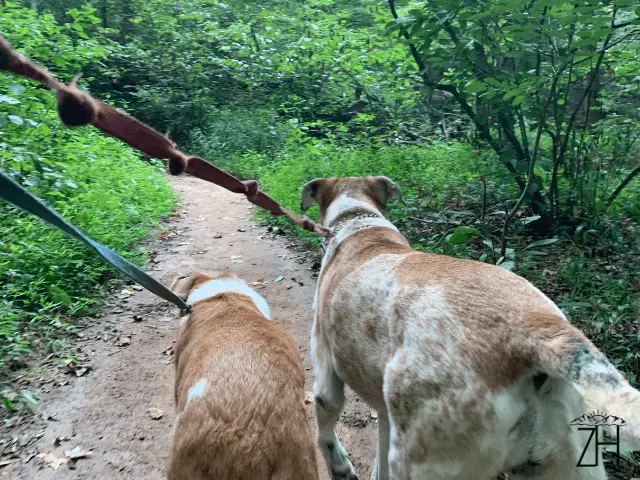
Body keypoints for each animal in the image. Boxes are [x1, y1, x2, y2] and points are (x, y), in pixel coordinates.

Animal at [302, 176, 640, 480]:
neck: (358, 223)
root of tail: (533, 329)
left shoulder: (326, 377)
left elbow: (325, 429)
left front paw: (339, 466)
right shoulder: (386, 415)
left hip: (423, 461)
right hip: (568, 461)